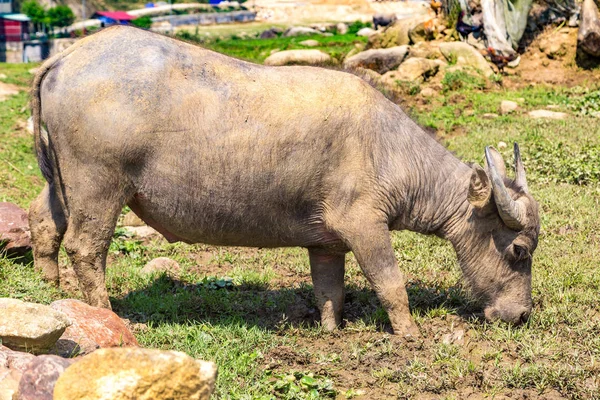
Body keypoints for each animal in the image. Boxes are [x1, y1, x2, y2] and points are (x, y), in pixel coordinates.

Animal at [30, 26, 540, 336]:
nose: (521, 314)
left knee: (43, 219)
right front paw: (410, 333)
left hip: (62, 179)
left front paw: (331, 329)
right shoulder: (365, 225)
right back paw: (106, 315)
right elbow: (391, 282)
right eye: (519, 250)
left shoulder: (327, 241)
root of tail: (69, 55)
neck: (388, 150)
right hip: (100, 183)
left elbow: (330, 288)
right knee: (86, 247)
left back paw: (52, 289)